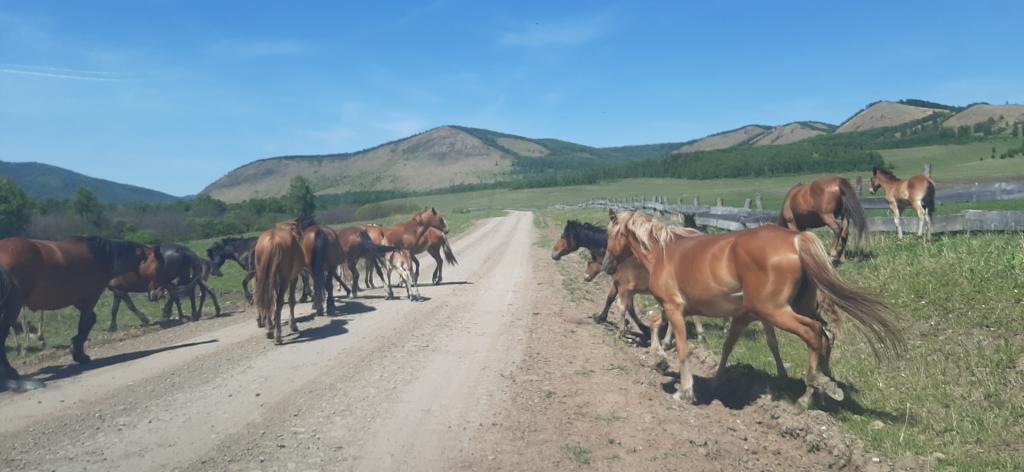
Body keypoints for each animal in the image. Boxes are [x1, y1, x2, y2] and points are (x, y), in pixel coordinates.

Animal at [0, 235, 161, 382]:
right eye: (158, 266)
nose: (157, 294)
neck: (99, 256)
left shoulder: (82, 302)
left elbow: (88, 323)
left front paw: (76, 349)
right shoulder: (90, 300)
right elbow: (86, 323)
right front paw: (80, 354)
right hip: (12, 308)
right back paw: (10, 371)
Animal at [598, 209, 905, 407]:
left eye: (609, 234)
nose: (607, 266)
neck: (664, 252)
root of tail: (797, 239)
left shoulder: (674, 308)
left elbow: (683, 349)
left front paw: (684, 391)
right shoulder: (679, 308)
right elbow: (655, 323)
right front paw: (661, 358)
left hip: (776, 311)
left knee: (814, 334)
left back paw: (811, 391)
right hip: (797, 306)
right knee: (825, 335)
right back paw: (824, 385)